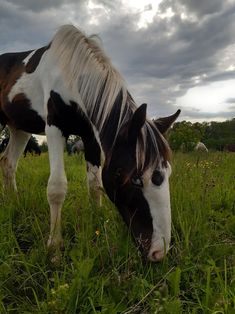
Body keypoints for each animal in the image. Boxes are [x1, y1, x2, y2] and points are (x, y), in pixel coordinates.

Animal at [0, 24, 180, 262]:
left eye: (168, 173)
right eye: (136, 179)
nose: (159, 252)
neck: (71, 74)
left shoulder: (91, 137)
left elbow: (95, 186)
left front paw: (98, 224)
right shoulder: (54, 128)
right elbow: (56, 188)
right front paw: (54, 247)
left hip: (19, 129)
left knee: (8, 163)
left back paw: (13, 202)